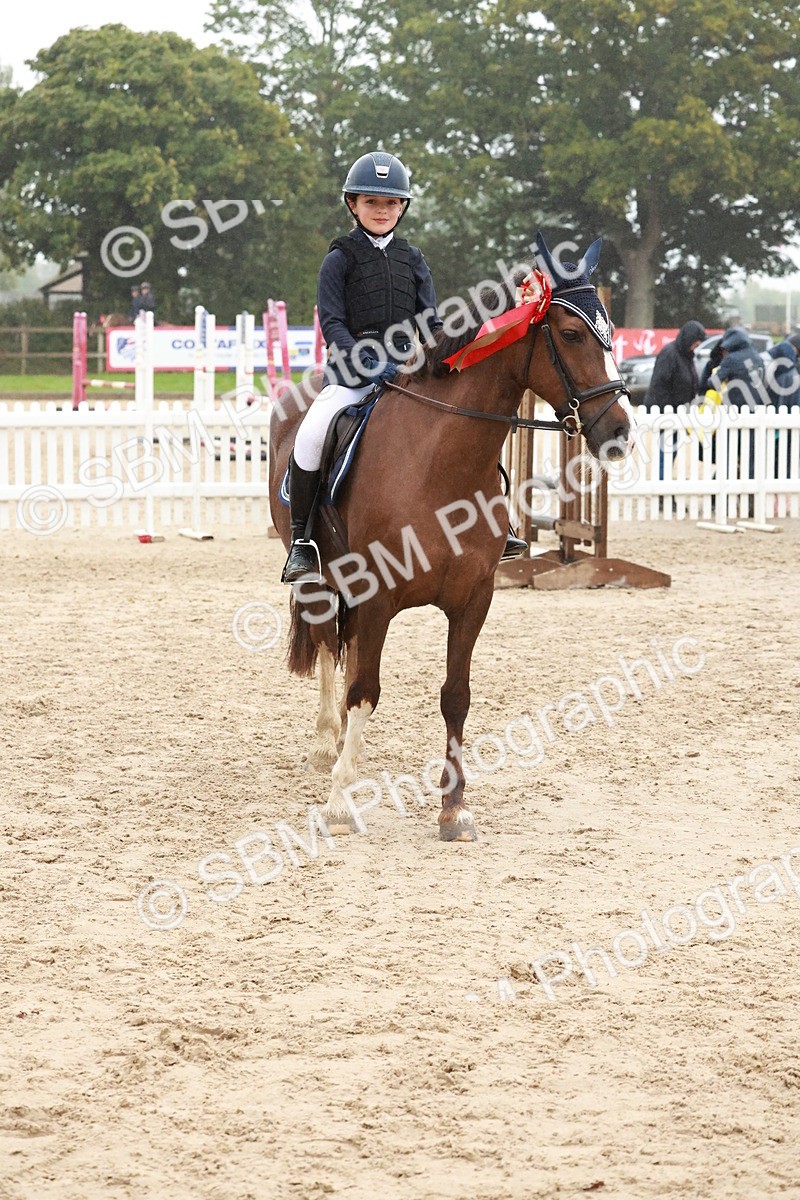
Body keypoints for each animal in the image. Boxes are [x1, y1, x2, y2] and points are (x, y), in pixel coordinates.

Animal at [268, 237, 632, 843]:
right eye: (572, 334)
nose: (620, 431)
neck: (441, 464)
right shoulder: (377, 597)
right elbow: (365, 688)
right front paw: (339, 802)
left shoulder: (473, 598)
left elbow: (454, 696)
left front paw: (453, 809)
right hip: (317, 576)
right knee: (324, 645)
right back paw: (326, 744)